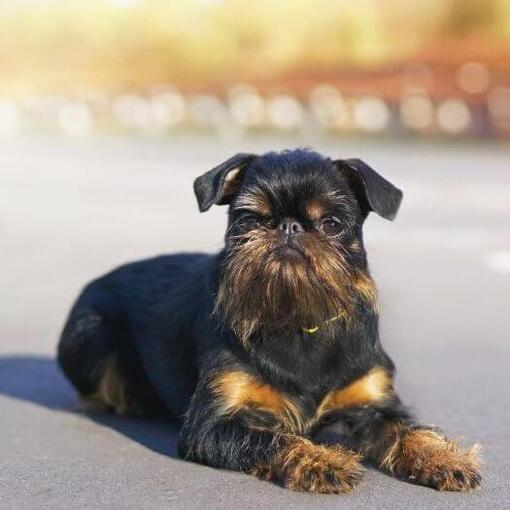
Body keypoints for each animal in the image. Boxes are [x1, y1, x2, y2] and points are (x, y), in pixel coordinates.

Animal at [58, 149, 482, 492]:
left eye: (331, 224)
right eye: (250, 220)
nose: (288, 226)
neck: (297, 318)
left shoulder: (374, 402)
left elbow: (410, 430)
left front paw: (444, 457)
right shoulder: (211, 426)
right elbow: (273, 438)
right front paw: (322, 460)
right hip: (89, 331)